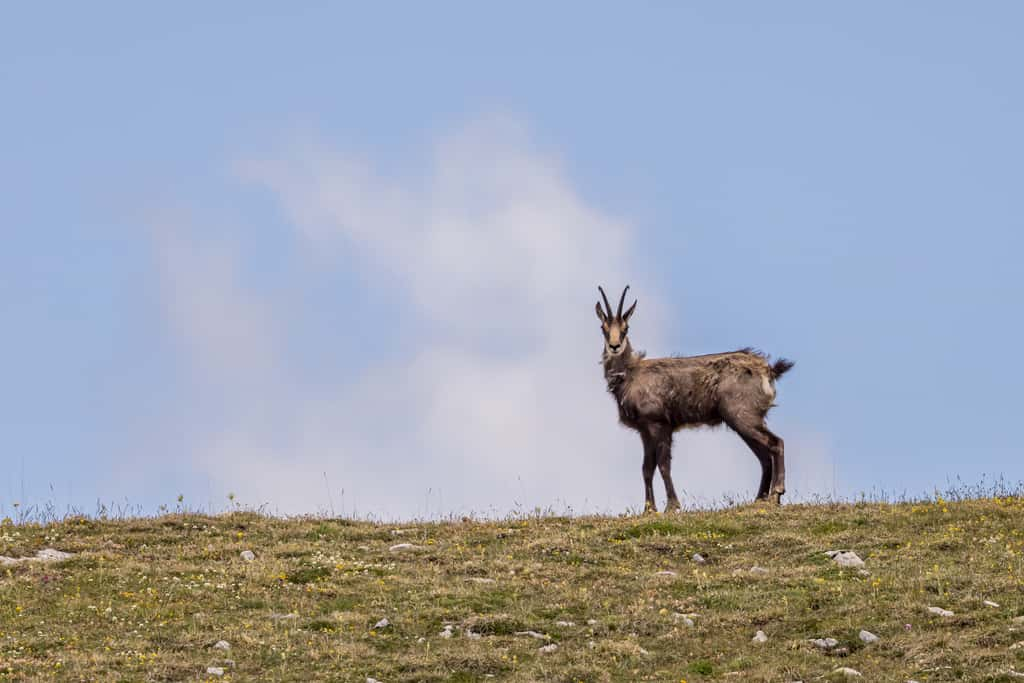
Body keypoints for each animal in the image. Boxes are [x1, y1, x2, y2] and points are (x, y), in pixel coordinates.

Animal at [593, 284, 790, 511]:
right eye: (603, 328)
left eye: (626, 328)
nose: (614, 346)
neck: (629, 374)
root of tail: (768, 370)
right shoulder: (644, 430)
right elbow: (646, 469)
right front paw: (649, 509)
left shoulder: (659, 424)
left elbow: (663, 465)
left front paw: (672, 505)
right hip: (744, 420)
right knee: (764, 456)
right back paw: (760, 498)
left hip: (743, 416)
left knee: (776, 443)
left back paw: (776, 493)